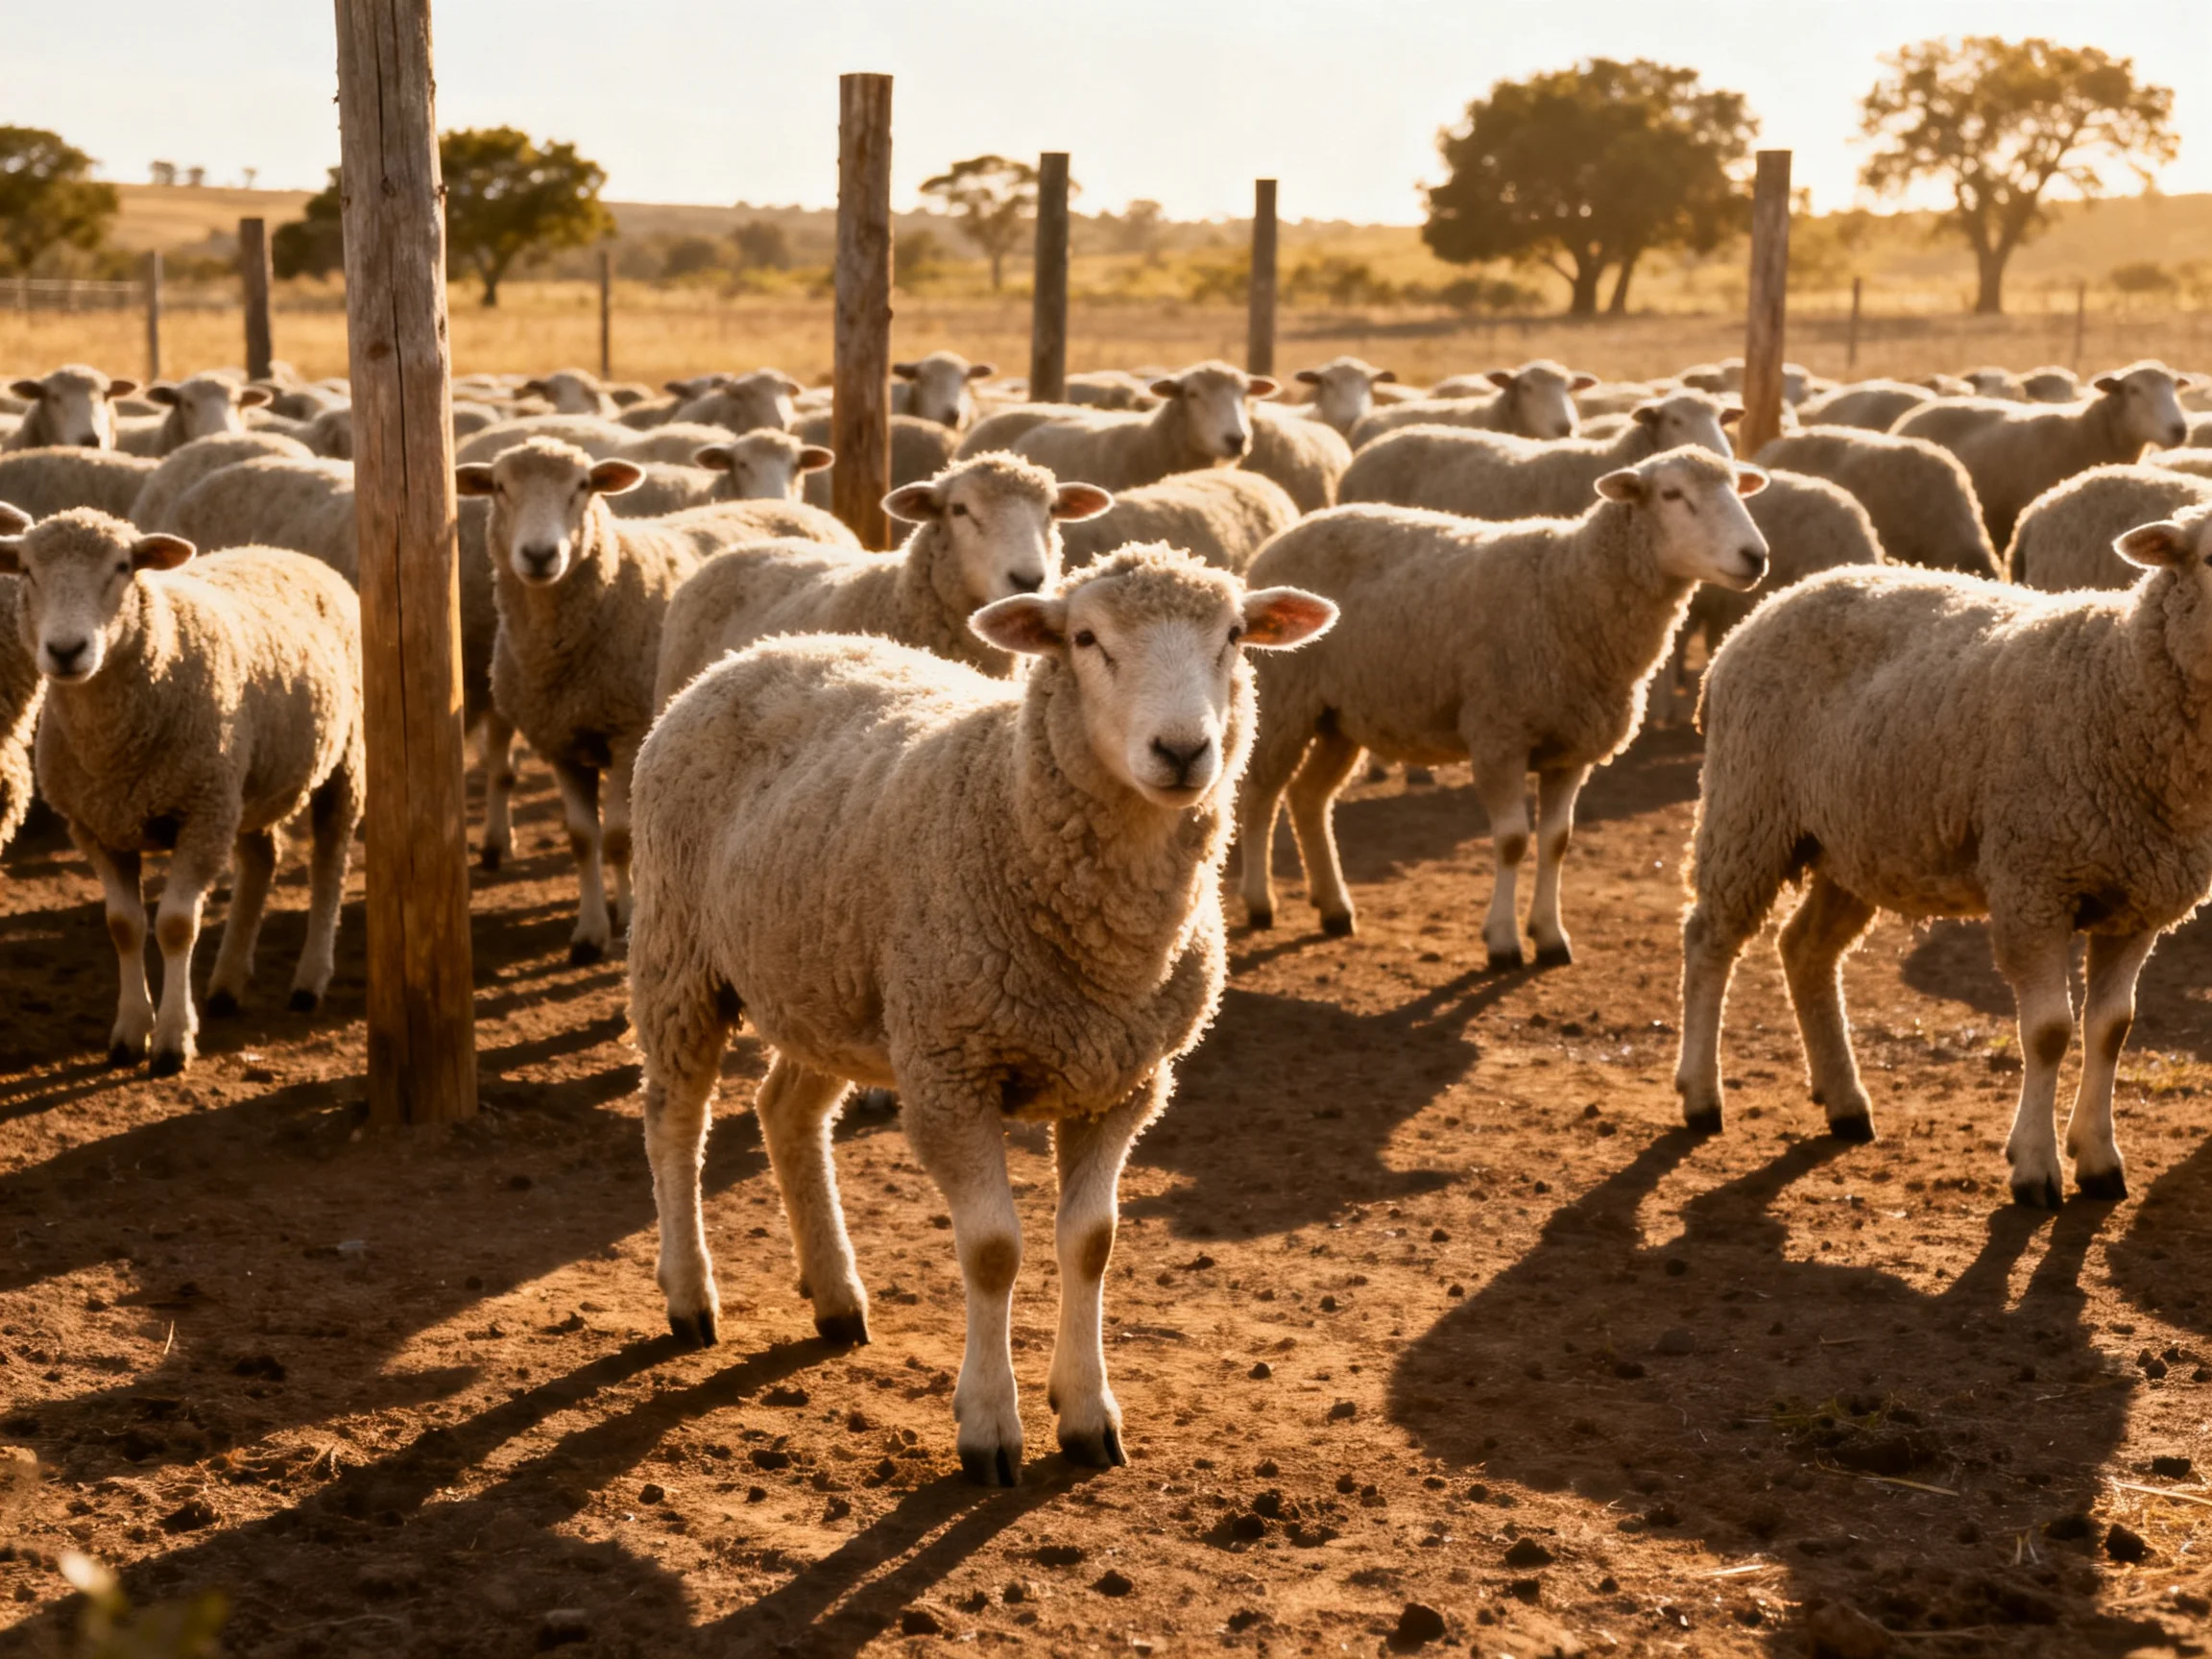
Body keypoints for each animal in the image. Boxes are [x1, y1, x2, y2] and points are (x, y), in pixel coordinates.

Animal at [0, 509, 362, 1074]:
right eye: (28, 571)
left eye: (123, 567)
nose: (66, 651)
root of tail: (281, 551)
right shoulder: (97, 826)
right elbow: (123, 925)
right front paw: (130, 1033)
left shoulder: (199, 814)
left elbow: (174, 925)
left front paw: (172, 1040)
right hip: (241, 787)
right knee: (262, 859)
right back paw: (227, 985)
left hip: (341, 760)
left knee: (330, 862)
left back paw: (309, 981)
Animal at [627, 546, 1337, 1481]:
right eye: (1084, 638)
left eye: (1234, 636)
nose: (1184, 749)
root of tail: (759, 652)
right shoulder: (951, 1072)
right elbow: (994, 1250)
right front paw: (991, 1425)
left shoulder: (1126, 1082)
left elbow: (1094, 1240)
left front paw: (1087, 1413)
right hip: (680, 952)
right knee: (675, 1118)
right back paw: (689, 1294)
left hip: (830, 984)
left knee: (785, 1113)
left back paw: (835, 1295)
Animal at [1237, 446, 1768, 957]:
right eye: (1672, 495)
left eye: (1737, 489)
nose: (1756, 556)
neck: (1567, 588)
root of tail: (1291, 531)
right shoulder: (1499, 735)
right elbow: (1513, 842)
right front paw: (1504, 941)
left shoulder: (1570, 751)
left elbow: (1557, 841)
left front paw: (1550, 936)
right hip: (1283, 699)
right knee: (1260, 795)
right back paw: (1260, 903)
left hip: (1339, 717)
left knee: (1308, 798)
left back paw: (1334, 909)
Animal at [1675, 508, 2212, 1206]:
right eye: (2211, 559)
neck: (2117, 675)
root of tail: (1762, 613)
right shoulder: (2032, 884)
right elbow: (2049, 1033)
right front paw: (2034, 1167)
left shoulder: (2135, 902)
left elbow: (2111, 1029)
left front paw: (2098, 1160)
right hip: (1748, 808)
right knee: (1709, 941)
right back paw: (1700, 1096)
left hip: (1850, 845)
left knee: (1804, 950)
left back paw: (1845, 1103)